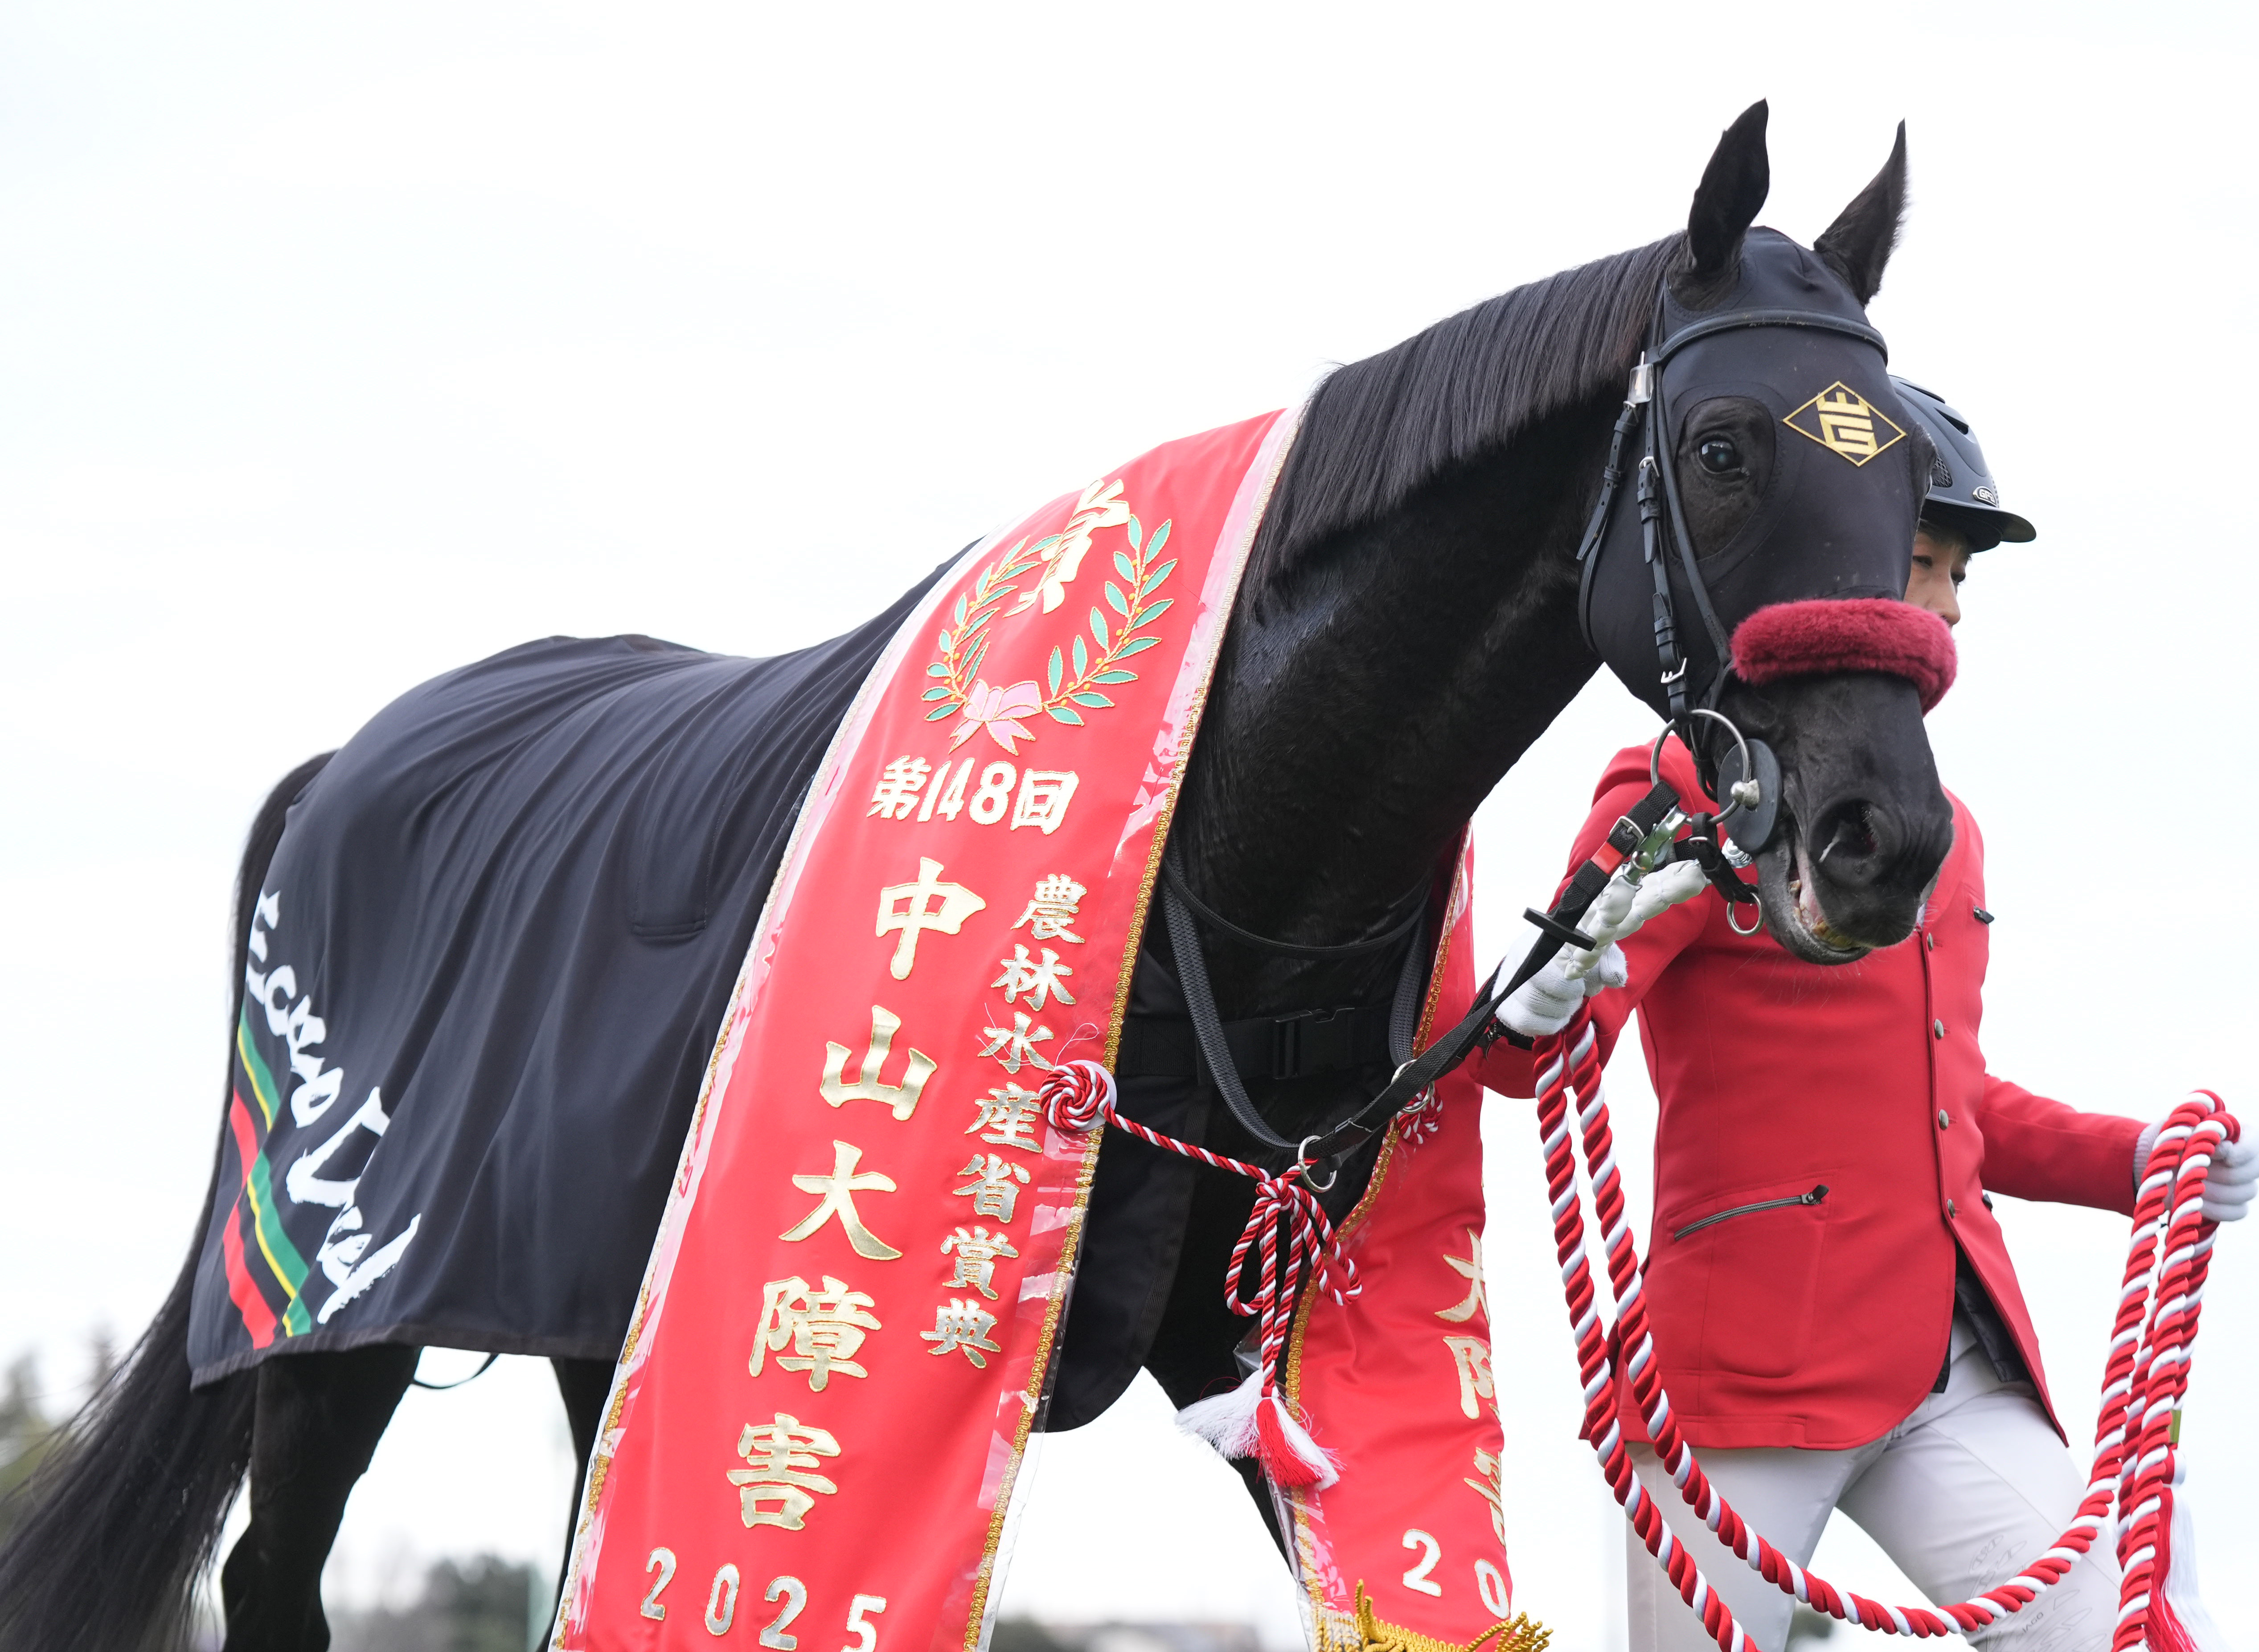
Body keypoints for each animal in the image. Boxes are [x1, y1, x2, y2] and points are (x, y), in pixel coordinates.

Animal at [0, 101, 1953, 1652]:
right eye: (1718, 448)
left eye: (1914, 475)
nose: (1881, 836)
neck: (1214, 863)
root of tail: (333, 776)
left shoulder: (1263, 1354)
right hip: (325, 1324)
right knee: (276, 1576)